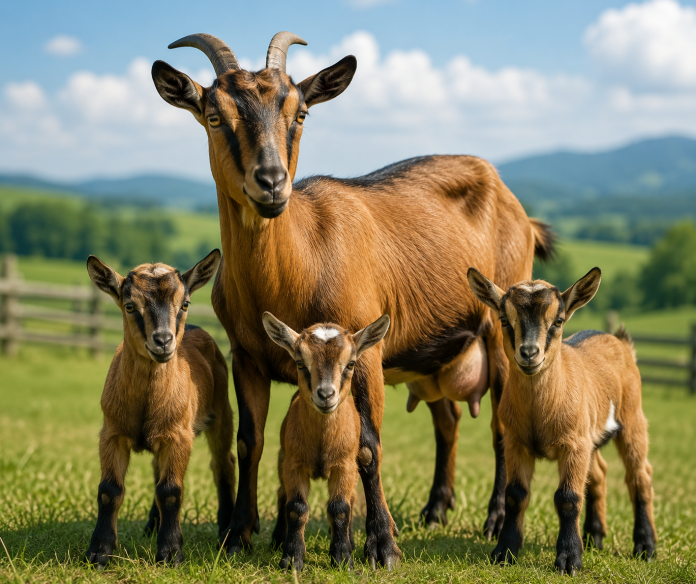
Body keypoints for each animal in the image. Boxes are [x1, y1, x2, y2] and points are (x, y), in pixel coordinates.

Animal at [84, 250, 235, 568]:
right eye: (130, 305)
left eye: (185, 303)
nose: (164, 341)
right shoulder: (112, 433)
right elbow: (109, 490)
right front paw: (99, 552)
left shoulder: (179, 435)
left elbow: (171, 491)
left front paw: (171, 553)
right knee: (157, 472)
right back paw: (152, 527)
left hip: (221, 412)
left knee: (223, 463)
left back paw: (226, 530)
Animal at [262, 312, 391, 570]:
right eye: (300, 363)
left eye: (350, 363)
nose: (325, 395)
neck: (322, 444)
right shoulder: (294, 465)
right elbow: (296, 507)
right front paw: (291, 559)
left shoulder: (345, 466)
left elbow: (340, 508)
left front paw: (342, 558)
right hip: (282, 459)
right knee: (282, 493)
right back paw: (279, 539)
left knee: (351, 499)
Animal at [468, 267, 656, 575]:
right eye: (505, 320)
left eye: (558, 321)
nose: (529, 353)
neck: (539, 413)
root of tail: (618, 340)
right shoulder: (517, 443)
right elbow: (515, 494)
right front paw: (504, 552)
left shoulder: (573, 445)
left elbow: (568, 498)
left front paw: (569, 560)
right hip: (590, 435)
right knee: (599, 473)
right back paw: (594, 537)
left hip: (632, 417)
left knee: (639, 476)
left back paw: (645, 547)